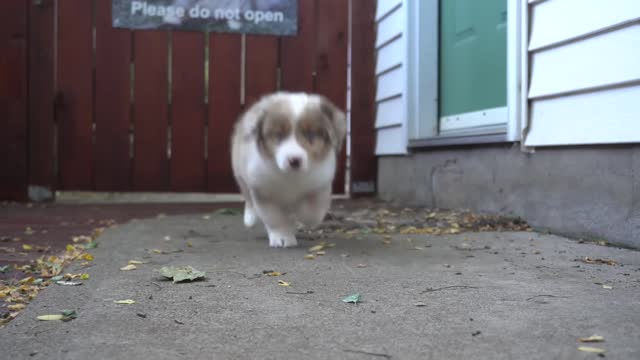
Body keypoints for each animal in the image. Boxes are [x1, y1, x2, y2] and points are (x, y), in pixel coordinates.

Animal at [232, 91, 348, 248]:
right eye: (278, 135)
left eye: (311, 135)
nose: (294, 160)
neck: (290, 177)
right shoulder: (262, 190)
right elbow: (275, 219)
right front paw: (282, 237)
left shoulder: (320, 185)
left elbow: (312, 211)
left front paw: (301, 216)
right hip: (240, 173)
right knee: (248, 197)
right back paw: (250, 218)